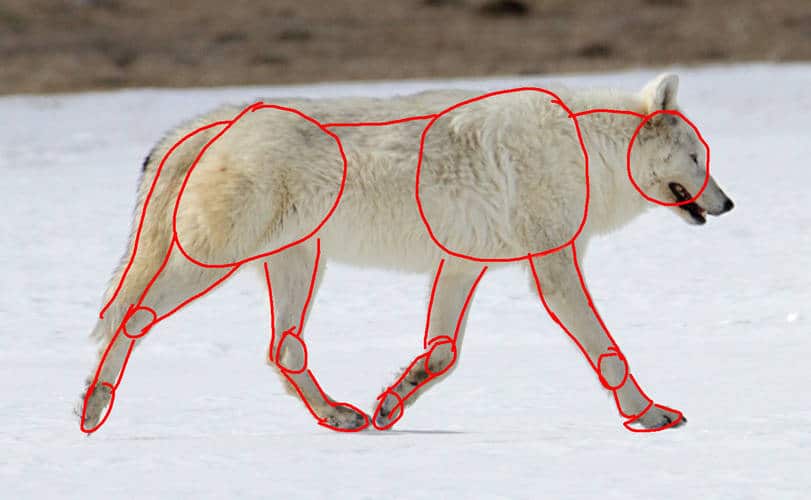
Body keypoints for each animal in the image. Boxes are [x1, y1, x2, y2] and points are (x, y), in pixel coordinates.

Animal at [77, 73, 734, 433]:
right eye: (697, 157)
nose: (728, 204)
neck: (587, 149)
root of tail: (219, 119)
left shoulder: (464, 265)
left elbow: (441, 354)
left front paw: (392, 403)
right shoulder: (552, 268)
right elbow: (607, 352)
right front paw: (649, 415)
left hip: (297, 263)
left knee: (282, 349)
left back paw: (340, 417)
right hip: (213, 264)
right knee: (129, 319)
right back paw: (93, 408)